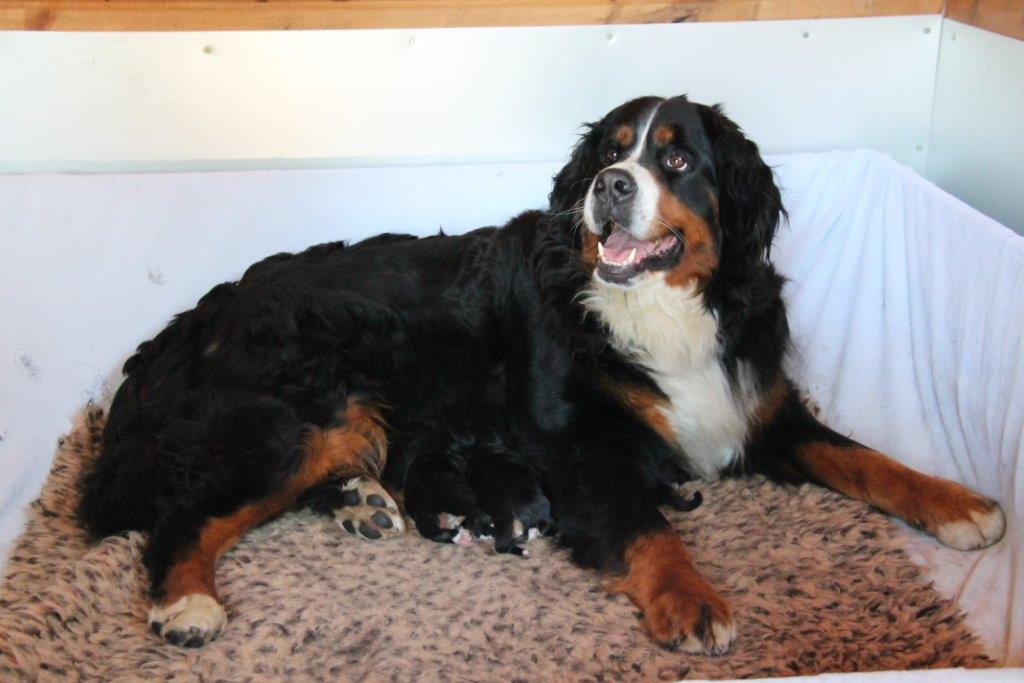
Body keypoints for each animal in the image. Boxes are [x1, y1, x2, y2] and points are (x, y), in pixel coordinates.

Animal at [78, 94, 1005, 653]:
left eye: (678, 161)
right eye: (608, 153)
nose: (610, 185)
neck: (656, 310)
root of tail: (205, 311)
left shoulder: (758, 407)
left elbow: (867, 457)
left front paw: (960, 504)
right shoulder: (580, 448)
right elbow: (647, 526)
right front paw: (691, 600)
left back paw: (362, 505)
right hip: (300, 415)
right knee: (186, 513)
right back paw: (187, 603)